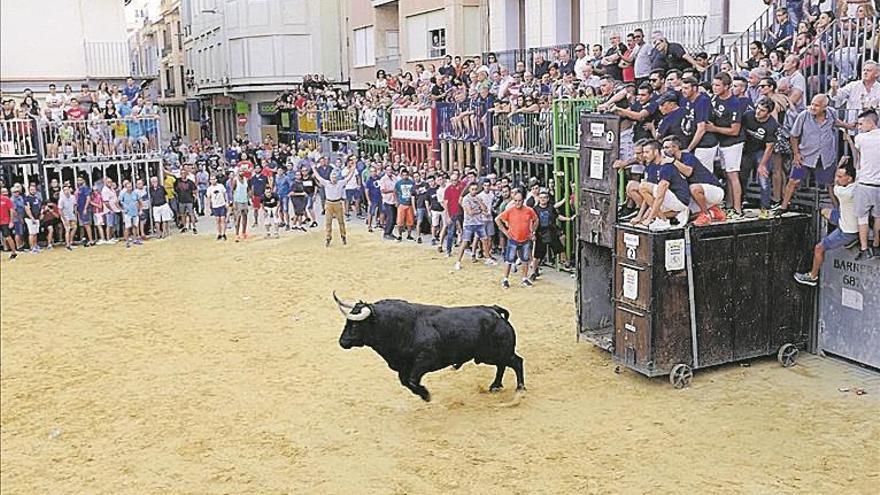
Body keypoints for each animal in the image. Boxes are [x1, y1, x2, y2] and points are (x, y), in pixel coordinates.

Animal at [336, 296, 524, 402]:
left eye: (355, 324)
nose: (342, 342)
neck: (403, 327)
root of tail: (494, 311)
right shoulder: (404, 367)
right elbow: (405, 382)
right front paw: (423, 394)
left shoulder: (424, 360)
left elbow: (412, 381)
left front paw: (426, 395)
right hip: (491, 355)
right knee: (503, 365)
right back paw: (495, 386)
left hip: (495, 353)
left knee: (516, 362)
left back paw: (520, 389)